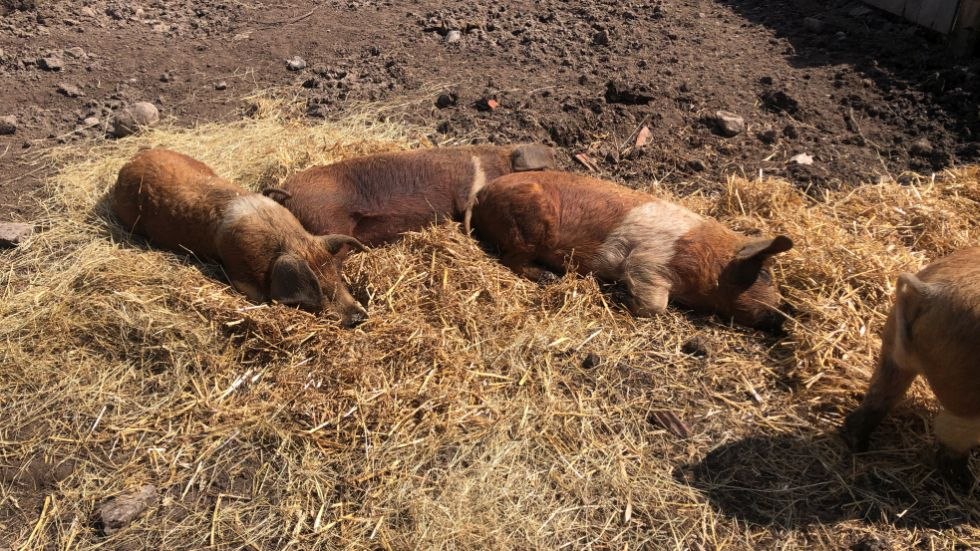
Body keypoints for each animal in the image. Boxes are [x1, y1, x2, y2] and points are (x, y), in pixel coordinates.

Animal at [111, 148, 369, 327]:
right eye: (314, 287)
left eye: (336, 273)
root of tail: (133, 159)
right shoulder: (240, 274)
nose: (358, 317)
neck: (287, 240)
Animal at [468, 171, 794, 331]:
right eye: (765, 276)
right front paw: (619, 298)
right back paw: (548, 277)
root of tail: (481, 195)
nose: (785, 317)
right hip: (529, 227)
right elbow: (654, 304)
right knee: (511, 259)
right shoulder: (647, 262)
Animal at [842, 247, 980, 486]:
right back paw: (965, 482)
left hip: (892, 349)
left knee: (880, 396)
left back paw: (856, 444)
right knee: (949, 432)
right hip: (966, 395)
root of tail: (931, 293)